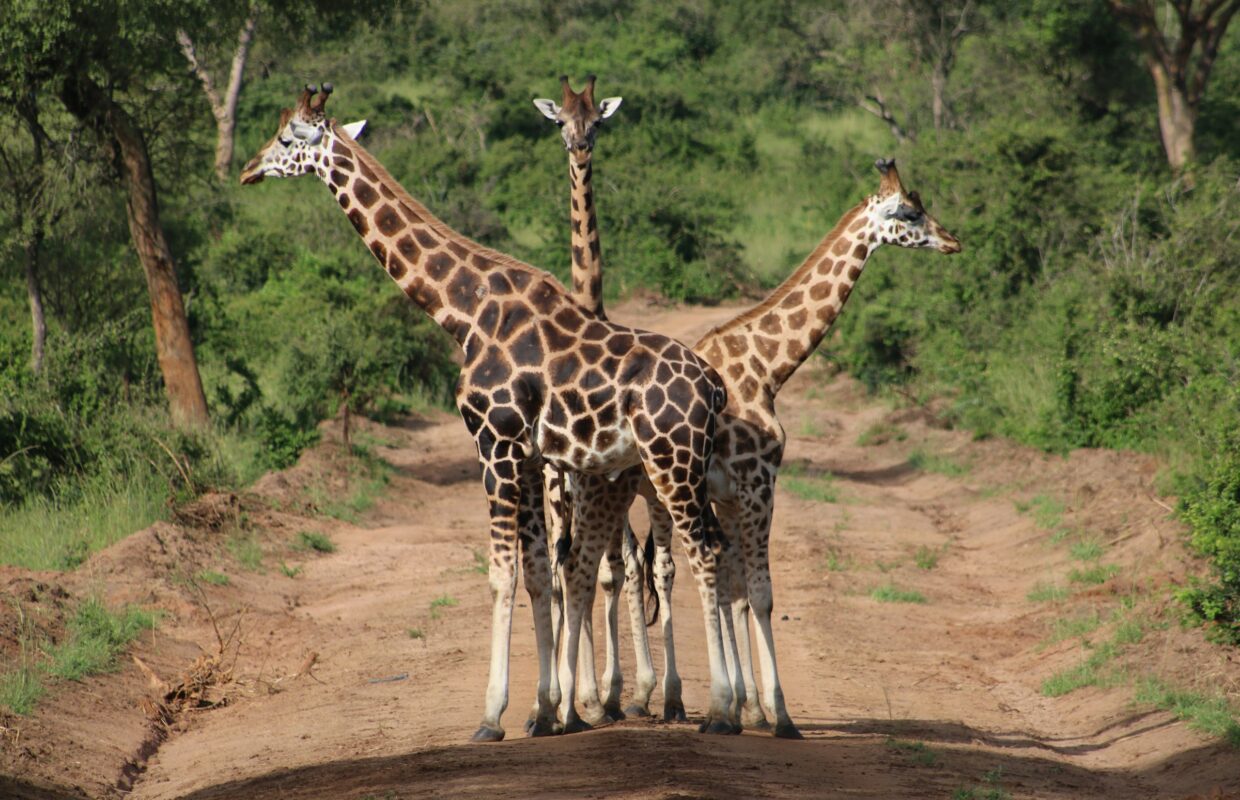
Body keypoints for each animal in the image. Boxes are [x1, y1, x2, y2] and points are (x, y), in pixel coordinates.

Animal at [240, 83, 740, 741]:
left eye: (287, 138)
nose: (247, 170)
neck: (463, 311)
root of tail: (713, 386)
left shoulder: (494, 443)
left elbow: (503, 573)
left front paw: (494, 714)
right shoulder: (528, 455)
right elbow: (538, 570)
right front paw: (547, 710)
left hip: (670, 463)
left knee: (700, 554)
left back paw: (722, 709)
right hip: (682, 468)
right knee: (707, 551)